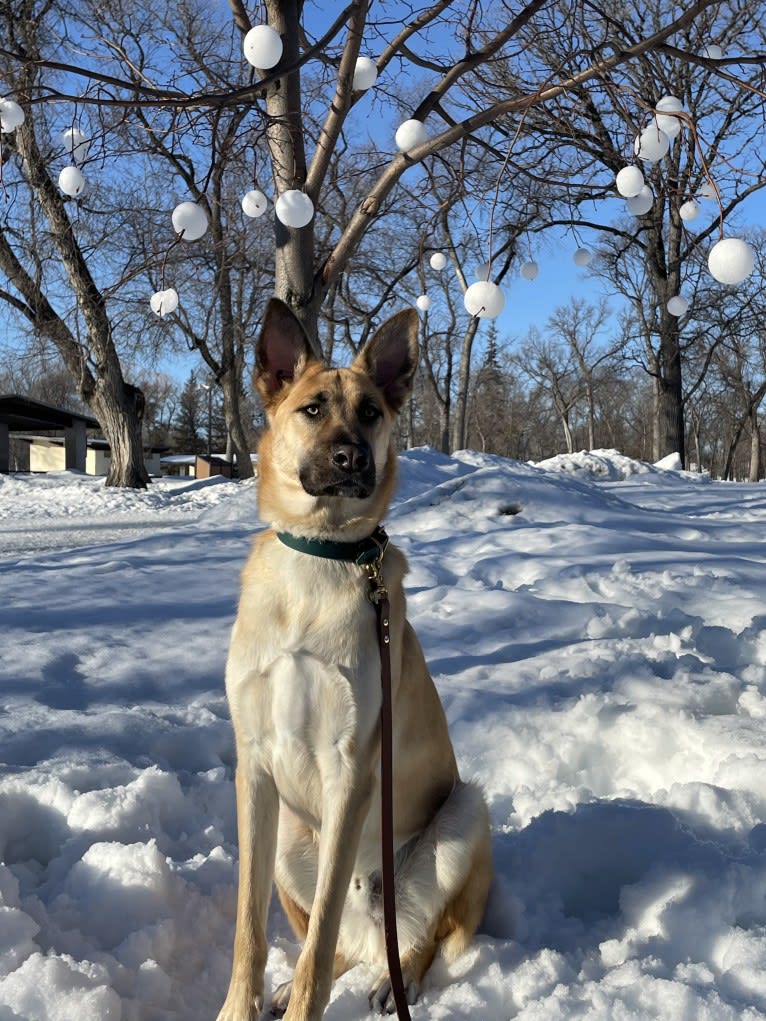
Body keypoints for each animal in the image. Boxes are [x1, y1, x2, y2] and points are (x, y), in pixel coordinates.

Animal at [216, 298, 494, 1021]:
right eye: (313, 409)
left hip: (463, 813)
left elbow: (317, 945)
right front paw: (242, 1004)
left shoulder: (351, 770)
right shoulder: (254, 766)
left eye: (370, 411)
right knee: (338, 933)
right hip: (290, 839)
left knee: (415, 936)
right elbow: (250, 927)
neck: (318, 555)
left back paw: (394, 983)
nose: (350, 456)